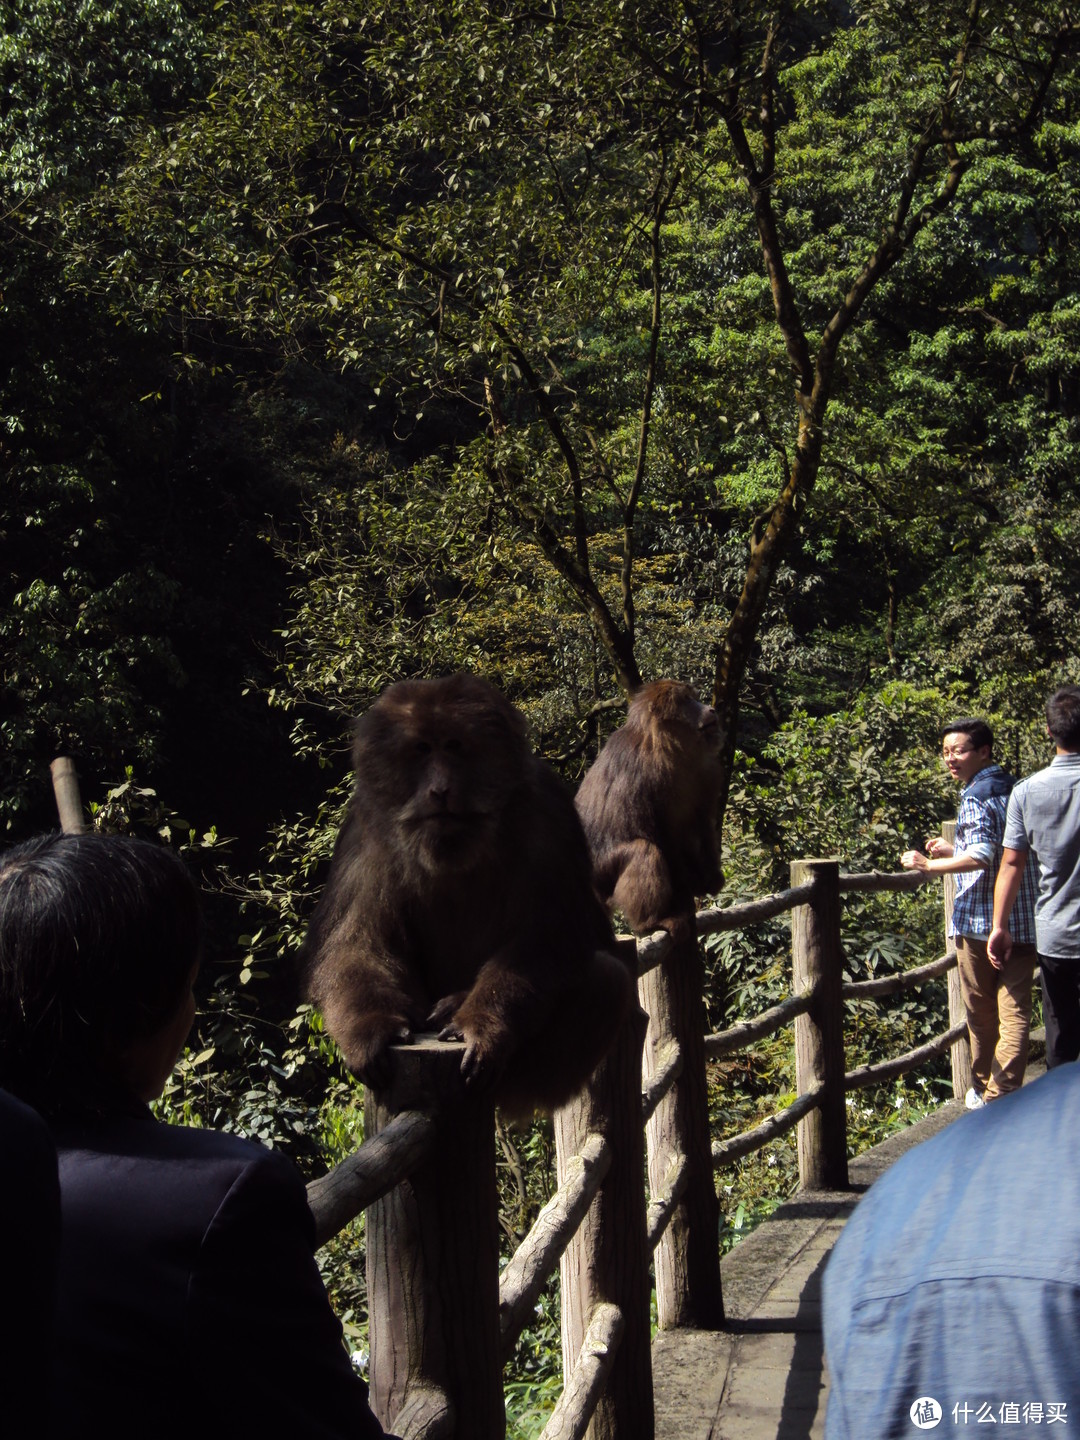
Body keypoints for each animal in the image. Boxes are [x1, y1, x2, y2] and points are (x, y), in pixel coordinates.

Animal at [298, 671, 633, 1111]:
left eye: (454, 747)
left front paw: (482, 1026)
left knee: (607, 978)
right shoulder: (365, 827)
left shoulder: (547, 811)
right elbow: (354, 940)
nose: (439, 789)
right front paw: (370, 1031)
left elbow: (551, 935)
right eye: (422, 750)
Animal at [576, 676, 728, 938]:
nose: (710, 709)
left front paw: (709, 876)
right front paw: (688, 882)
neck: (673, 749)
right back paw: (651, 922)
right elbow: (651, 830)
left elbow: (702, 821)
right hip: (603, 872)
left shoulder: (708, 771)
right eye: (686, 700)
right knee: (644, 850)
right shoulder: (642, 771)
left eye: (694, 697)